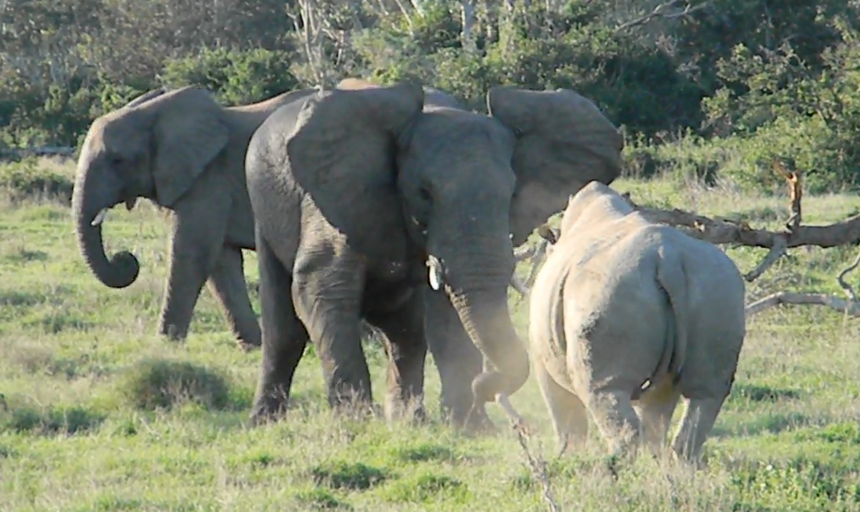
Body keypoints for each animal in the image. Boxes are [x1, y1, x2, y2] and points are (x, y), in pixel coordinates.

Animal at [71, 85, 320, 348]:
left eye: (117, 160)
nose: (125, 259)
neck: (153, 114)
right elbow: (221, 263)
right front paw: (253, 346)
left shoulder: (208, 179)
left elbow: (192, 253)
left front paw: (166, 342)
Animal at [245, 76, 620, 428]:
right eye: (424, 193)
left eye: (513, 193)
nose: (487, 388)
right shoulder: (339, 193)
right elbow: (322, 287)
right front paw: (356, 422)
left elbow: (448, 314)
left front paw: (472, 428)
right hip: (262, 211)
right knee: (284, 329)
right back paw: (265, 421)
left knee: (405, 333)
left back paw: (407, 419)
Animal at [528, 180, 744, 464]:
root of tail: (667, 257)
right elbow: (657, 406)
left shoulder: (541, 354)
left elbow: (563, 410)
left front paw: (566, 457)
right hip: (717, 286)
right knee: (706, 394)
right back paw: (674, 464)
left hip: (609, 289)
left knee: (604, 389)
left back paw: (612, 468)